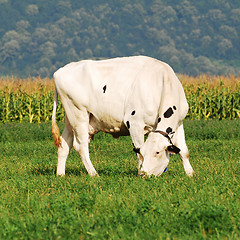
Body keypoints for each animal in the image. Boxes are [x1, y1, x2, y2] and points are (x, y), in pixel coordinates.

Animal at [51, 55, 194, 177]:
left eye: (157, 152)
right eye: (144, 152)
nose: (144, 174)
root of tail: (60, 71)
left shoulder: (179, 123)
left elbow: (184, 151)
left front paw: (190, 174)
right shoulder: (134, 122)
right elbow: (138, 151)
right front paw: (139, 171)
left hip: (70, 120)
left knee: (64, 145)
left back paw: (60, 174)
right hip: (78, 115)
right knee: (81, 146)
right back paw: (94, 174)